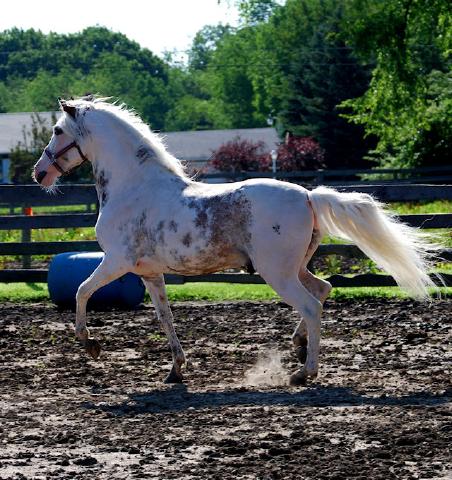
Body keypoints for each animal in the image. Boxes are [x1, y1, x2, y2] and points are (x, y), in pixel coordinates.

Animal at [32, 97, 438, 386]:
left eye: (57, 130)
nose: (39, 173)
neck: (134, 187)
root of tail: (308, 196)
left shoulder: (117, 261)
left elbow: (82, 291)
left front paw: (91, 345)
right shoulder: (149, 273)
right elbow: (165, 317)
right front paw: (175, 370)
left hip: (277, 273)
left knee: (311, 305)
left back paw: (303, 373)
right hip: (295, 268)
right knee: (323, 289)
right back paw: (298, 347)